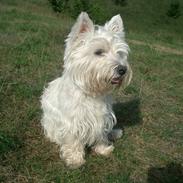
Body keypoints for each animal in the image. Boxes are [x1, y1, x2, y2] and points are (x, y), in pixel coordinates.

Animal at [40, 12, 132, 168]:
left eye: (119, 53)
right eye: (98, 52)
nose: (122, 70)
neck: (92, 91)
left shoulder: (102, 117)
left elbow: (101, 133)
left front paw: (103, 149)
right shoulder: (72, 122)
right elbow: (73, 141)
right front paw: (74, 160)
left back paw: (115, 133)